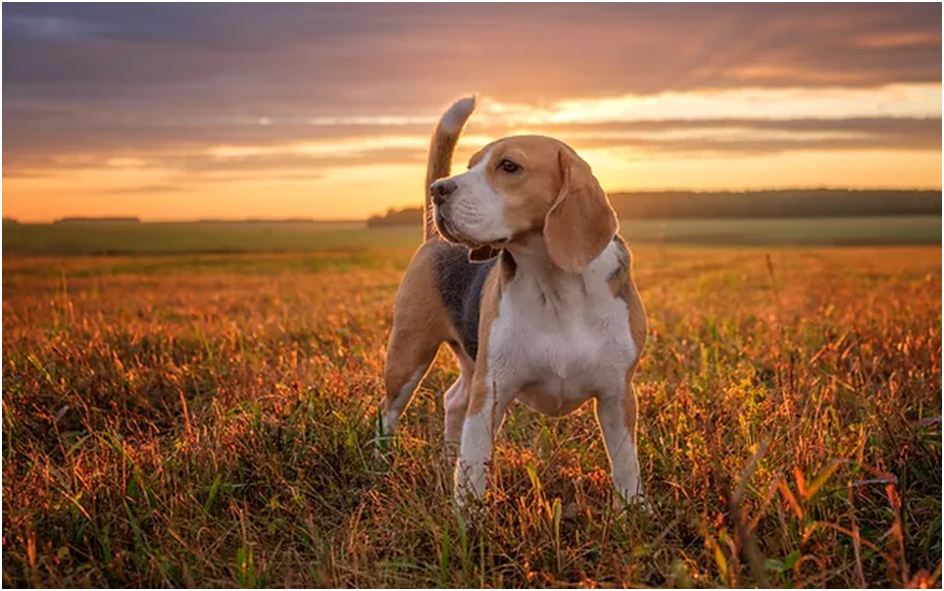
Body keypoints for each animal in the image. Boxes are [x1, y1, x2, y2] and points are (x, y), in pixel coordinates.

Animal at [380, 96, 644, 508]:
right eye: (470, 166)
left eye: (509, 166)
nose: (439, 190)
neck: (554, 285)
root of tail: (433, 239)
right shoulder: (491, 392)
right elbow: (474, 467)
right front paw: (466, 521)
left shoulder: (618, 395)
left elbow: (626, 465)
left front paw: (634, 512)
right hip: (408, 354)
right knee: (389, 414)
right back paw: (380, 464)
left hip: (469, 361)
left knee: (454, 399)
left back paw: (446, 459)